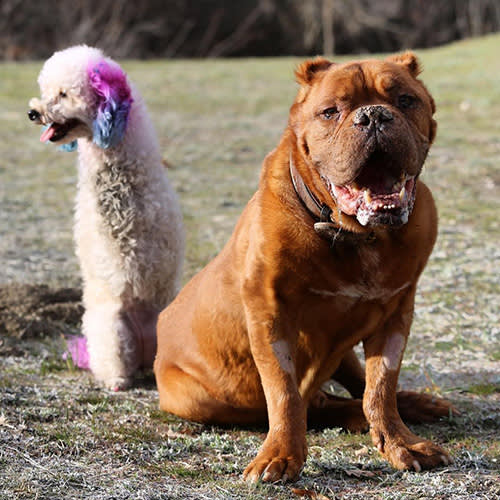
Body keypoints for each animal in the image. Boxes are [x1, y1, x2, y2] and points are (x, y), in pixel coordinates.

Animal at [154, 52, 456, 482]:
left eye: (405, 100)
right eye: (330, 112)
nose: (373, 116)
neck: (355, 235)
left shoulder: (396, 315)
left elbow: (380, 386)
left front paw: (401, 442)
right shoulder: (271, 316)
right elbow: (284, 392)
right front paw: (280, 455)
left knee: (350, 389)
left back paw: (416, 405)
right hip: (194, 398)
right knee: (316, 404)